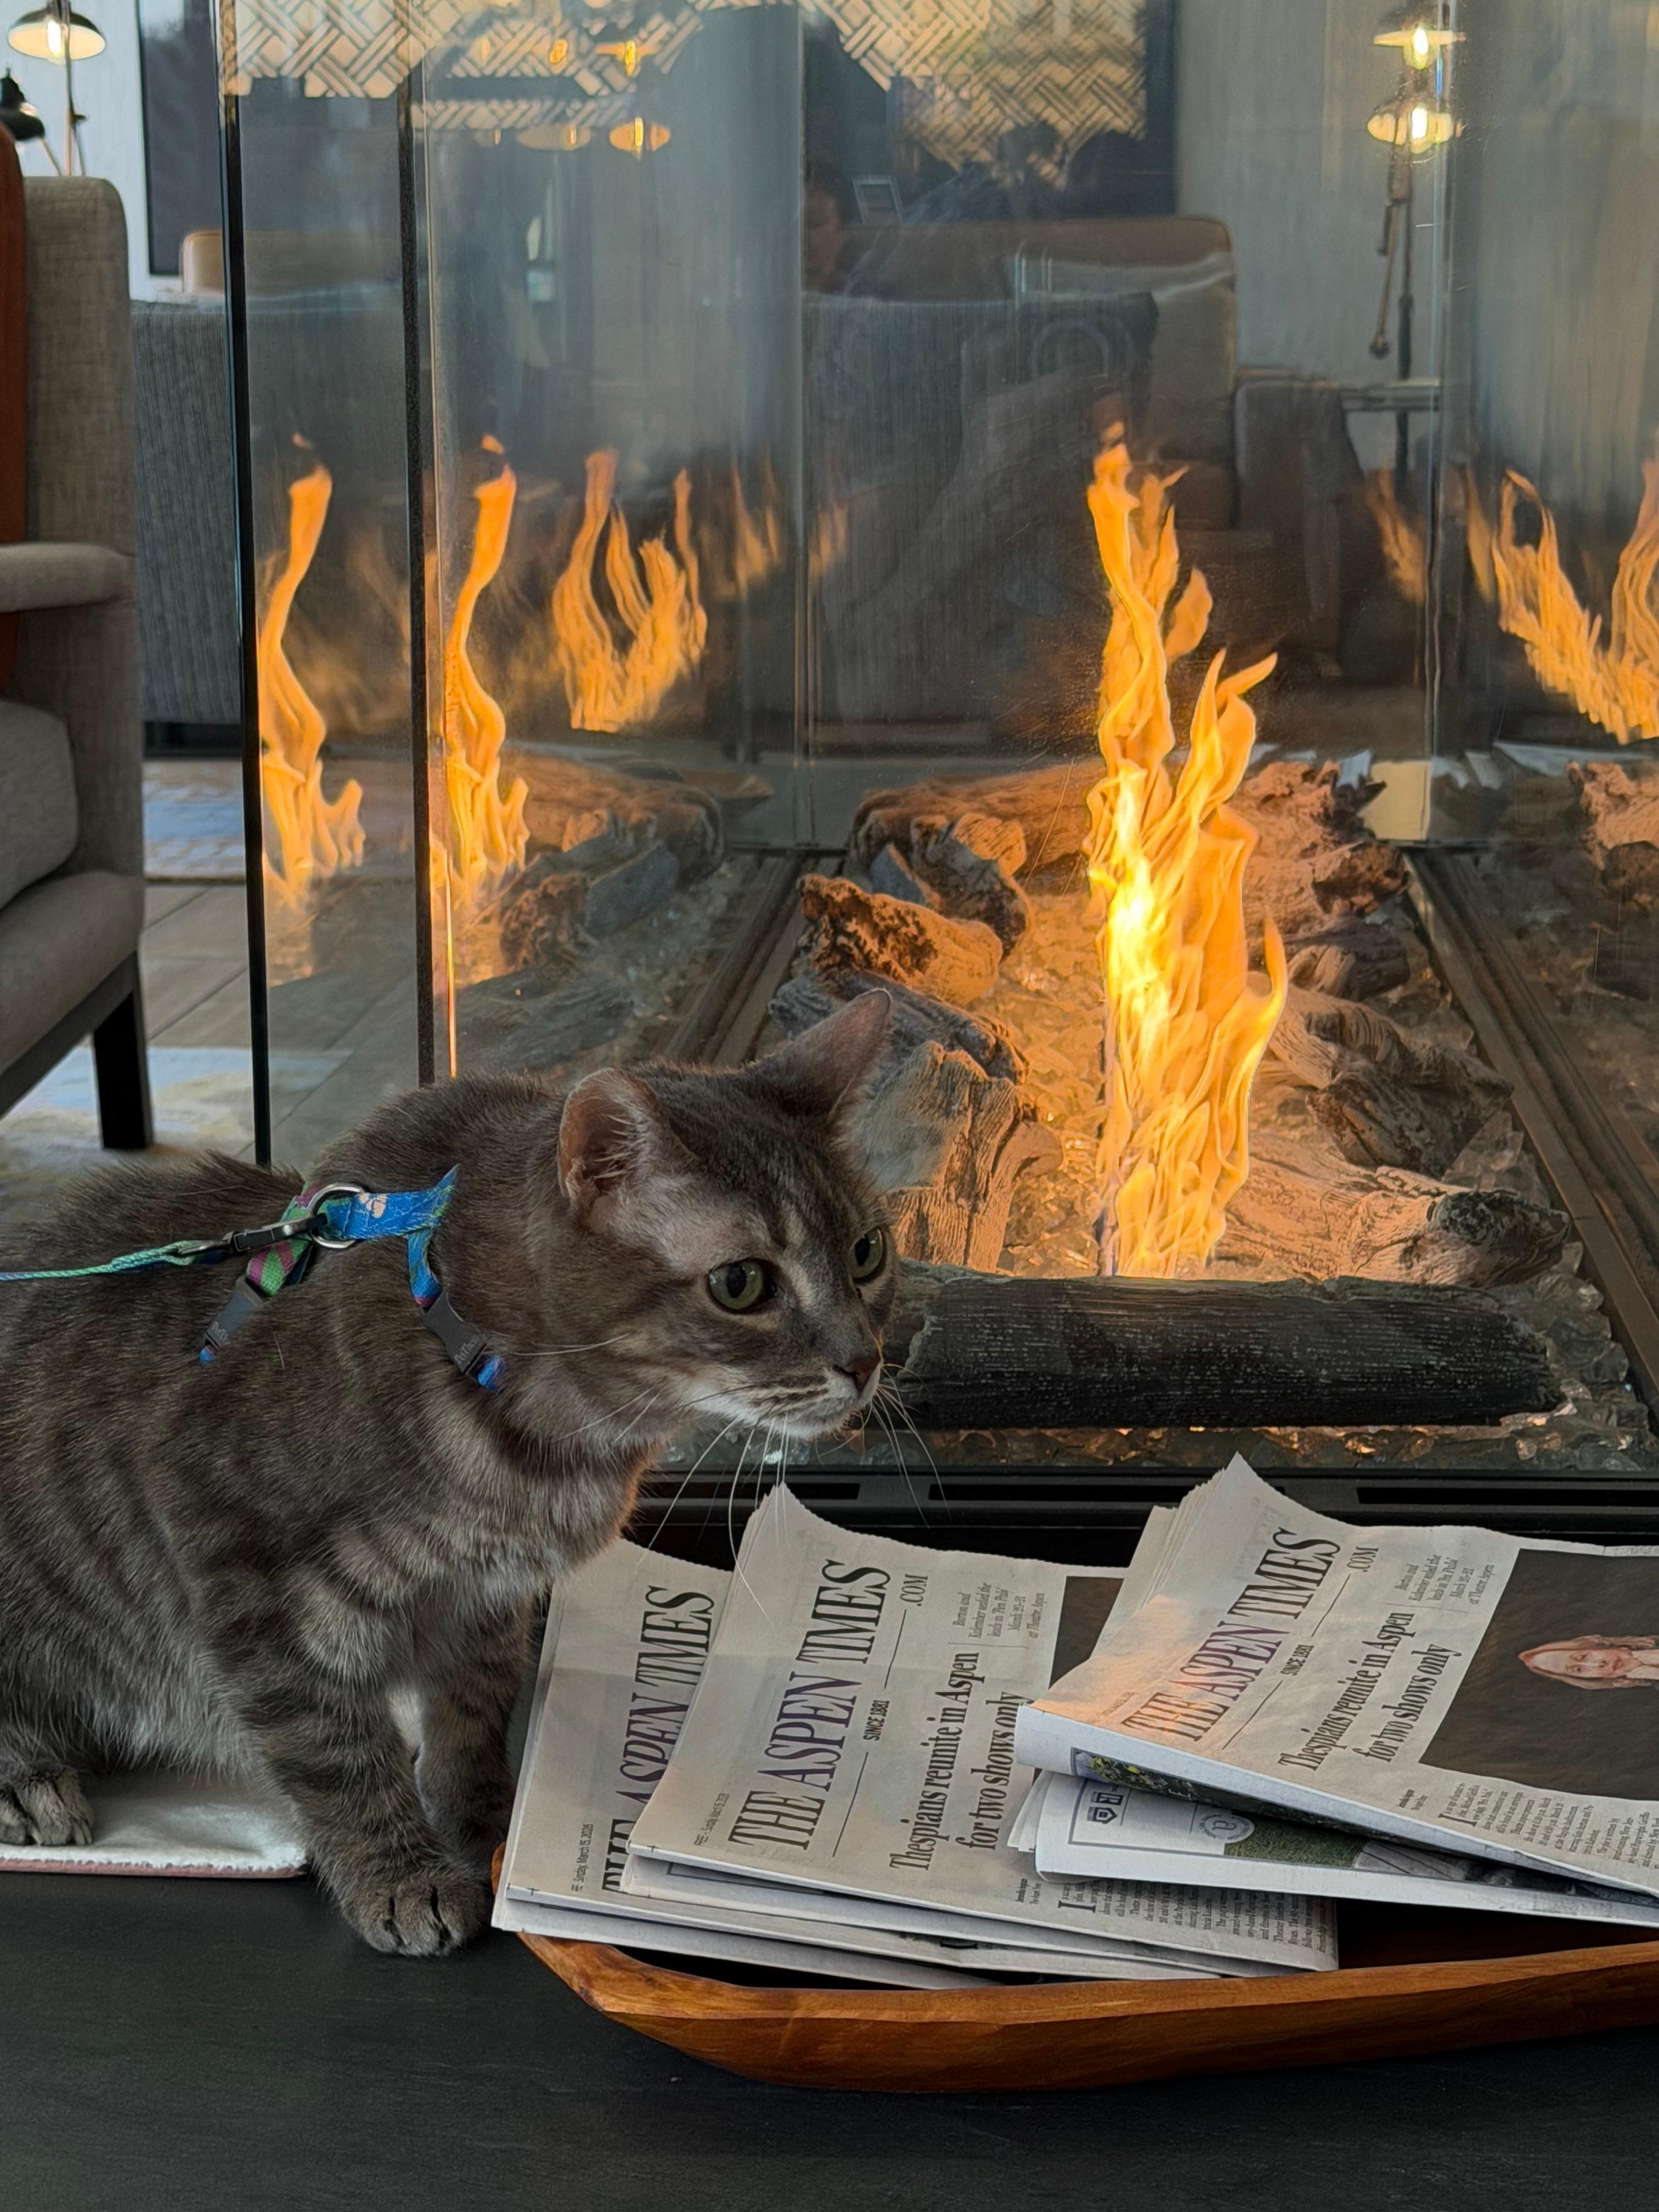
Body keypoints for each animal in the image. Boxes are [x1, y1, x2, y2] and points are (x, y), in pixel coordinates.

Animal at [0, 992, 893, 1954]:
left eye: (868, 1252)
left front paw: (480, 1821)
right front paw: (400, 1872)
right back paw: (27, 1779)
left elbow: (475, 1711)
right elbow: (336, 1750)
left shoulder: (487, 1600)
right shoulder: (243, 1570)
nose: (867, 1360)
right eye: (741, 1284)